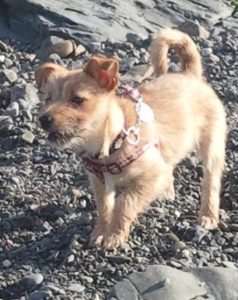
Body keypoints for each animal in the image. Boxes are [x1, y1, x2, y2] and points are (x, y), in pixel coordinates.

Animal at [35, 28, 227, 248]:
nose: (43, 119)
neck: (114, 141)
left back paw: (208, 216)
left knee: (211, 182)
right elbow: (104, 207)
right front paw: (101, 231)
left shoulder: (150, 176)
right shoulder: (100, 183)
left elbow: (124, 203)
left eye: (77, 100)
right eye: (48, 99)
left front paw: (115, 235)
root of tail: (190, 75)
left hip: (212, 146)